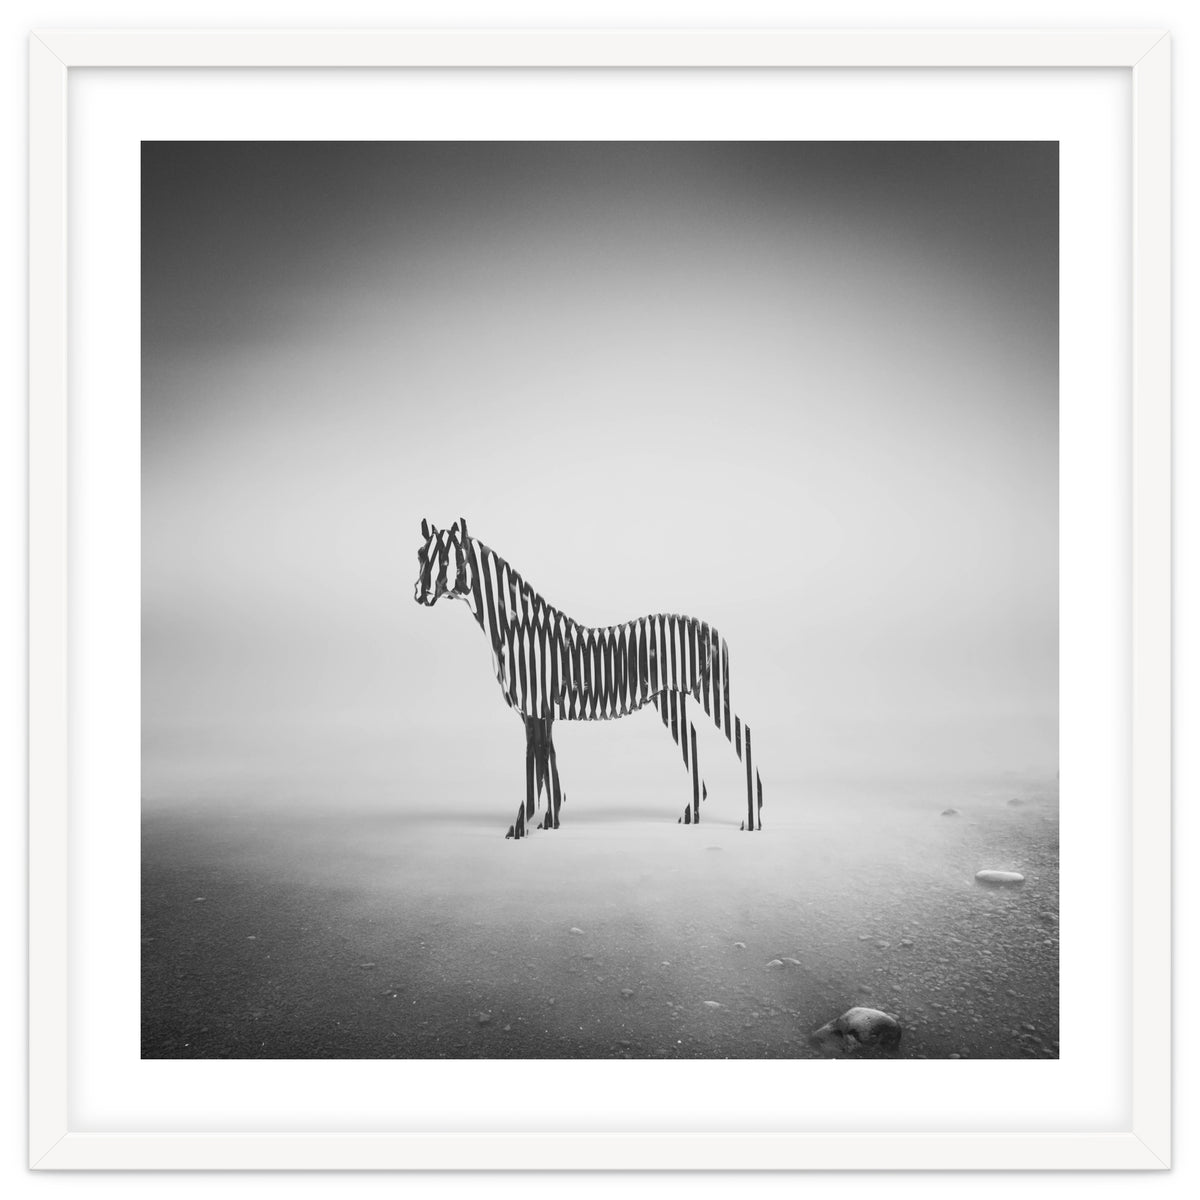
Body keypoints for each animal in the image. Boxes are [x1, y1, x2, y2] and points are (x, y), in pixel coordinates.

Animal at [414, 518, 763, 840]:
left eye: (446, 560)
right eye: (420, 554)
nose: (419, 594)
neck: (520, 631)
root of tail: (714, 631)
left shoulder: (535, 709)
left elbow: (535, 769)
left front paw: (520, 826)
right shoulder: (540, 712)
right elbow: (548, 766)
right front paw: (550, 821)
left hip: (709, 692)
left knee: (742, 734)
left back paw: (752, 818)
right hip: (670, 699)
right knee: (692, 739)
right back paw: (692, 814)